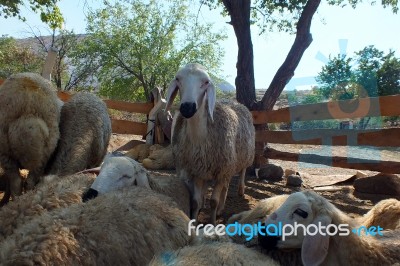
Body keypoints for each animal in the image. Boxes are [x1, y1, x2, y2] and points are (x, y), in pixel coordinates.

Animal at [166, 63, 256, 225]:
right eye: (178, 79)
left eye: (206, 82)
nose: (187, 107)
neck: (200, 138)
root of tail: (236, 102)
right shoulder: (198, 170)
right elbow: (196, 201)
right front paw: (194, 221)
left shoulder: (220, 170)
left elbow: (213, 201)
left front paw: (213, 223)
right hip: (228, 165)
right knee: (226, 185)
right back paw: (221, 209)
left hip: (244, 156)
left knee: (242, 172)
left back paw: (240, 190)